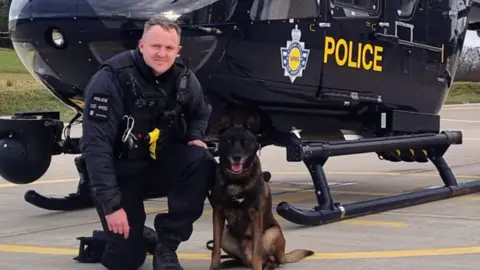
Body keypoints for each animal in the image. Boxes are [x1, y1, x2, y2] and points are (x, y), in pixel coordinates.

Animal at [208, 110, 314, 268]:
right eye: (228, 141)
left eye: (245, 142)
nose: (236, 157)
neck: (236, 180)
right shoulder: (218, 214)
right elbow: (215, 247)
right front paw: (215, 267)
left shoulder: (255, 215)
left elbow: (257, 252)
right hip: (227, 234)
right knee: (243, 259)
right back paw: (229, 262)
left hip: (272, 233)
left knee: (270, 260)